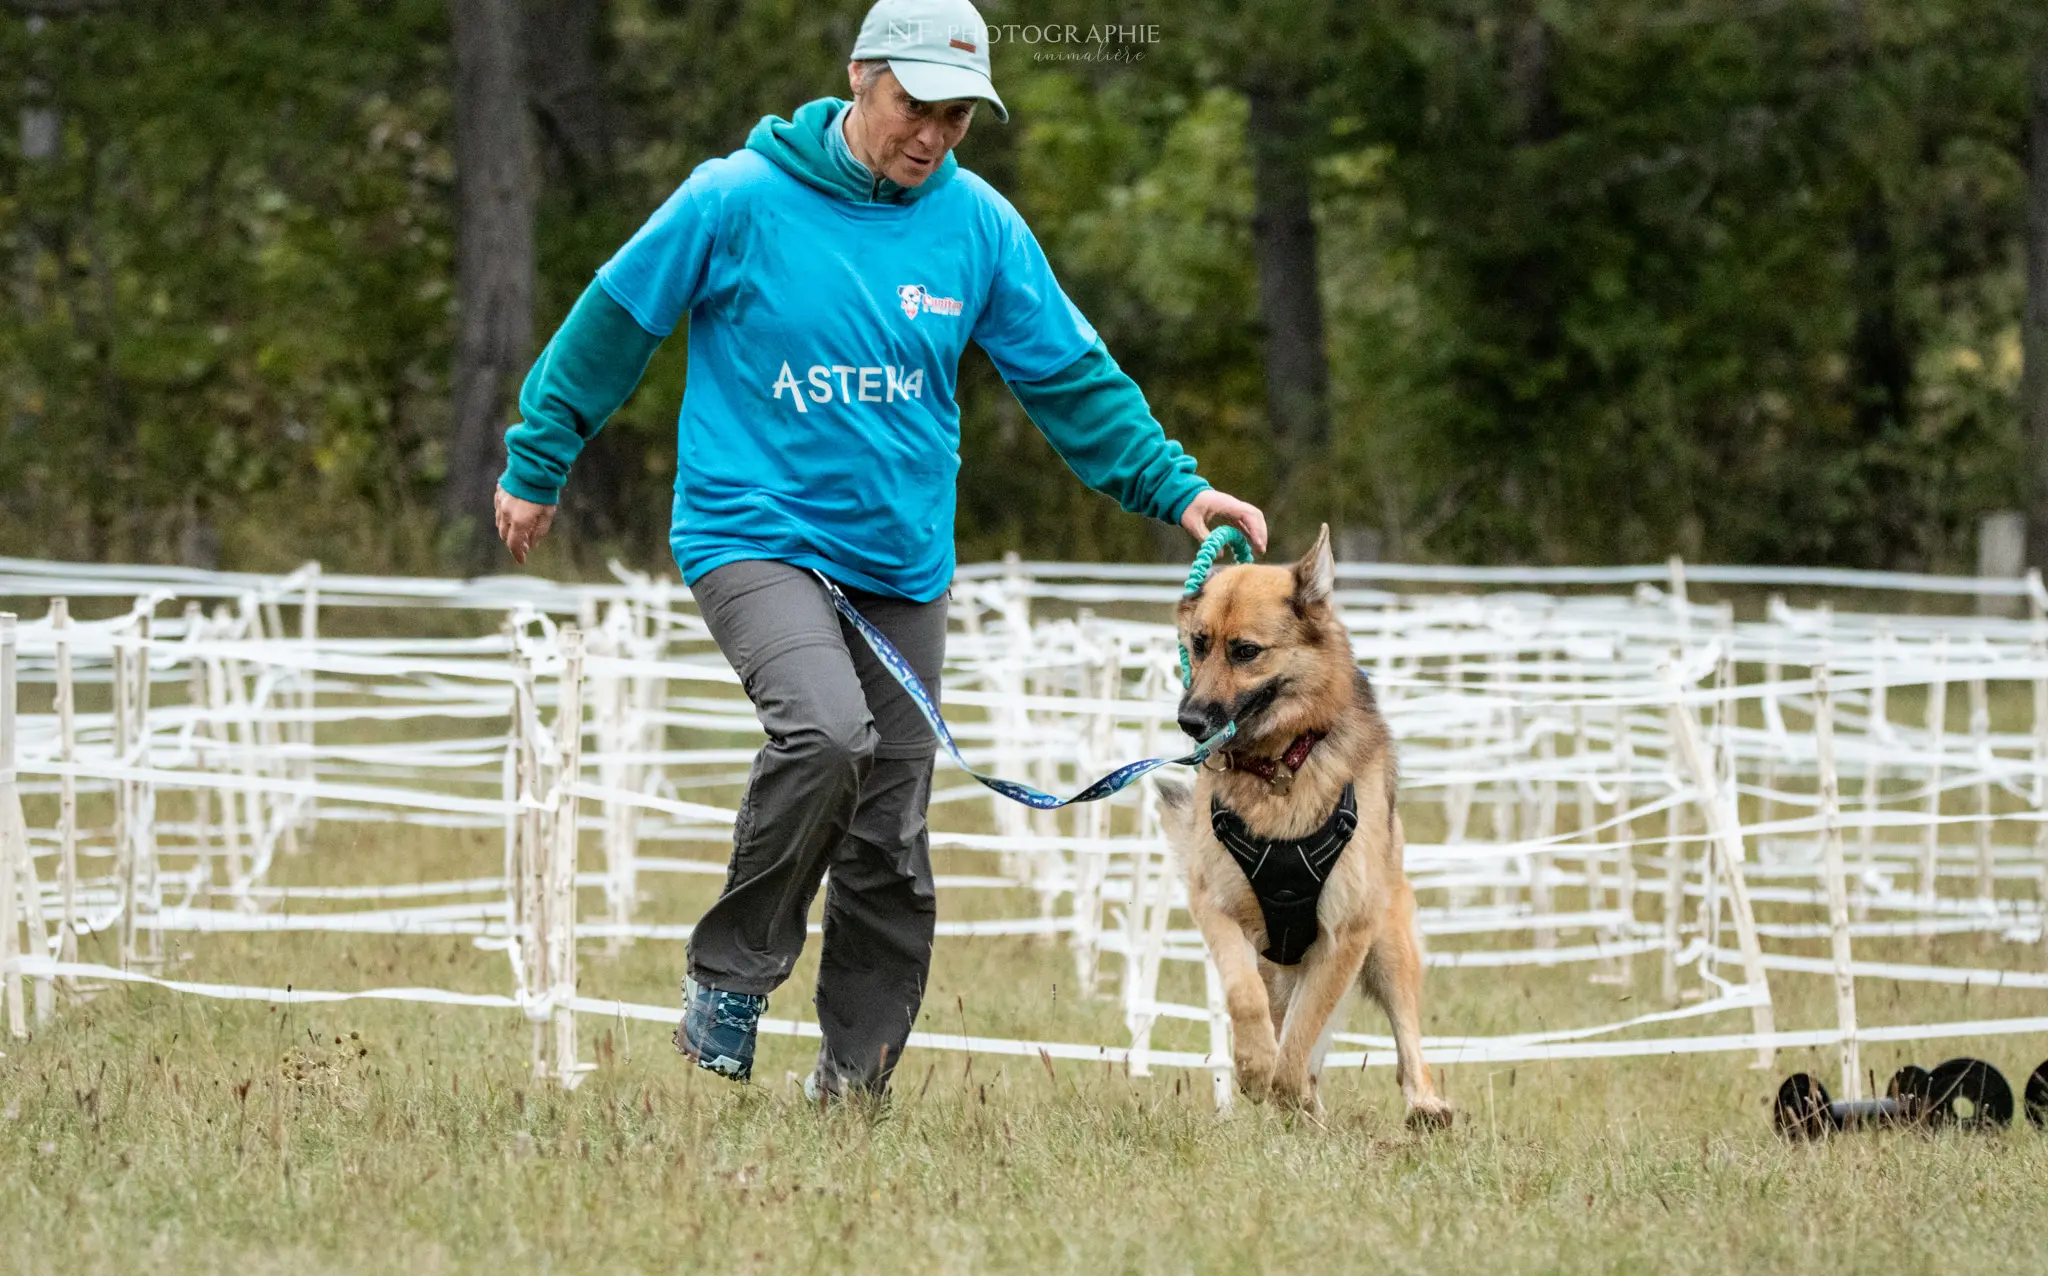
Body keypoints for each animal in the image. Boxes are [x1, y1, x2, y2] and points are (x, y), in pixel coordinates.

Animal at [1163, 524, 1449, 1122]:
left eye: (1246, 651)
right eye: (1199, 644)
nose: (1189, 721)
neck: (1280, 766)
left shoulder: (1344, 934)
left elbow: (1302, 1036)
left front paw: (1286, 1089)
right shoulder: (1215, 907)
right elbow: (1245, 998)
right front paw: (1253, 1067)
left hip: (1388, 946)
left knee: (1406, 1040)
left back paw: (1422, 1104)